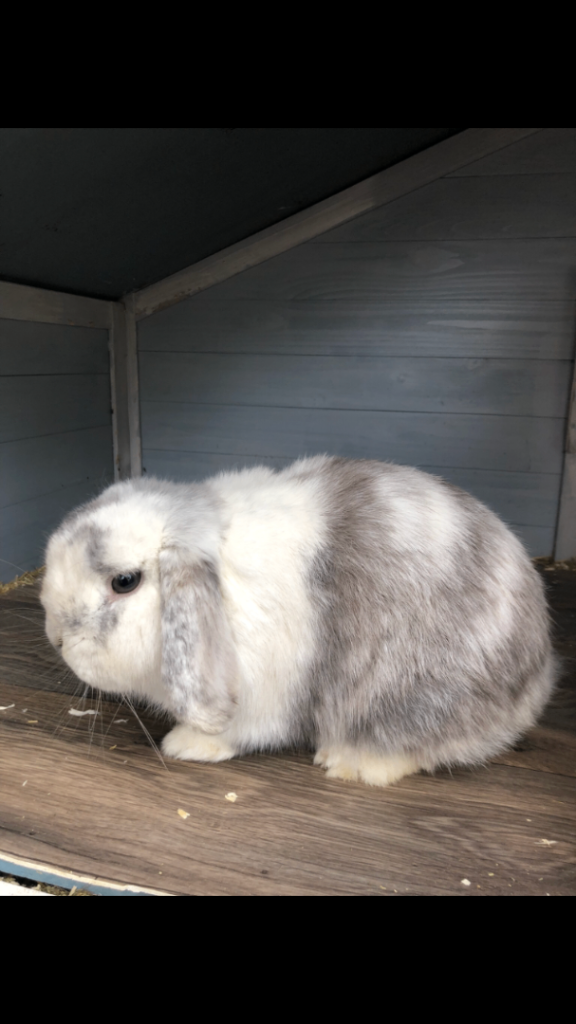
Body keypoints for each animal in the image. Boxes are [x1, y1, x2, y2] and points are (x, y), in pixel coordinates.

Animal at [40, 456, 557, 788]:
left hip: (414, 698)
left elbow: (234, 730)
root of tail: (537, 676)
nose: (56, 638)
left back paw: (348, 763)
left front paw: (185, 744)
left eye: (124, 581)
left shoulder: (260, 692)